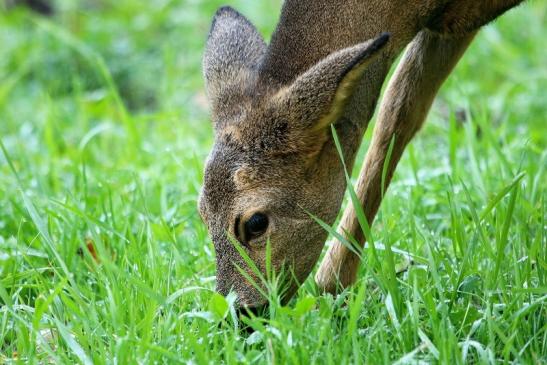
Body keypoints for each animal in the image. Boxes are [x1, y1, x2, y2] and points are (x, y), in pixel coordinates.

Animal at [199, 0, 524, 308]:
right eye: (202, 214)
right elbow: (398, 109)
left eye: (256, 223)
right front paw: (333, 285)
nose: (239, 313)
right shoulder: (445, 29)